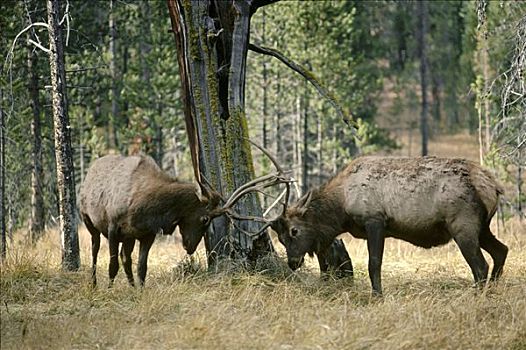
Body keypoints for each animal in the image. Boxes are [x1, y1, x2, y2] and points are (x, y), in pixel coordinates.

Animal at [80, 144, 290, 286]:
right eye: (205, 218)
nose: (190, 247)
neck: (143, 207)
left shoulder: (146, 234)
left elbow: (141, 268)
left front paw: (139, 291)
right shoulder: (113, 227)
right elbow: (112, 265)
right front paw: (110, 290)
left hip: (128, 237)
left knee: (126, 258)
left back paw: (130, 286)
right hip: (89, 221)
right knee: (95, 251)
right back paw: (93, 284)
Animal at [270, 156, 510, 296]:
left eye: (294, 230)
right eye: (280, 239)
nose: (292, 262)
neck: (342, 206)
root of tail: (493, 186)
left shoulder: (375, 220)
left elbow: (374, 264)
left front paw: (377, 296)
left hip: (463, 225)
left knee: (480, 266)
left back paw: (478, 295)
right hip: (482, 227)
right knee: (501, 250)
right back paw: (493, 290)